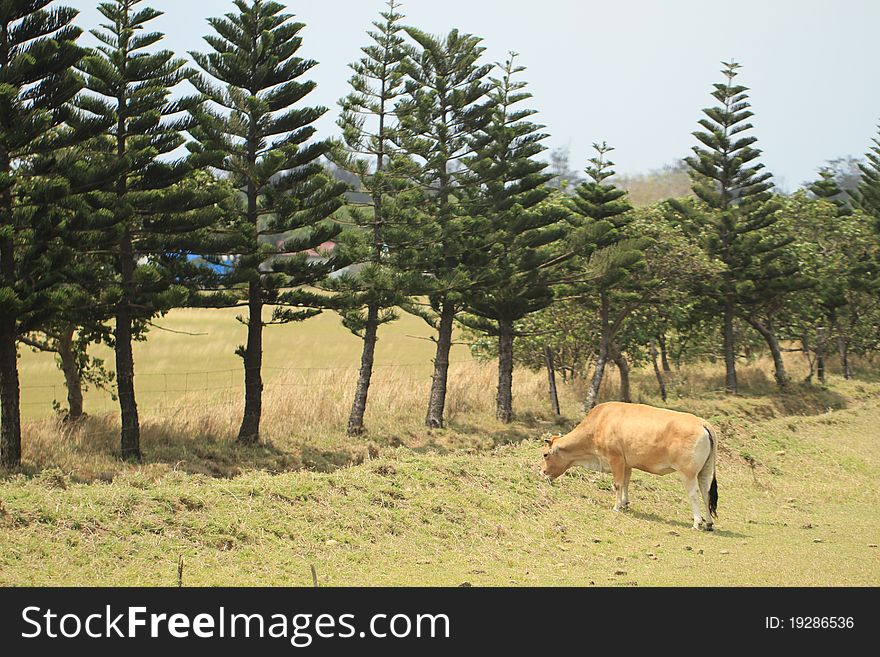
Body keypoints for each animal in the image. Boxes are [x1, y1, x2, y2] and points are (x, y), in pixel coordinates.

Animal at [540, 400, 720, 528]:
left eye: (545, 454)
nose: (542, 472)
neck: (599, 423)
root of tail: (702, 423)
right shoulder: (627, 464)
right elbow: (626, 483)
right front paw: (624, 503)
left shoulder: (616, 459)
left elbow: (618, 484)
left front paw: (616, 507)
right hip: (705, 471)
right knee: (706, 493)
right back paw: (709, 523)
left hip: (688, 474)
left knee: (694, 494)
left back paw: (697, 522)